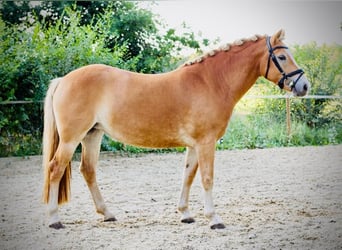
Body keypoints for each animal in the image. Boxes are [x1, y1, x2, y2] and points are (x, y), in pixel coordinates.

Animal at [42, 28, 310, 229]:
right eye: (282, 57)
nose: (304, 86)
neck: (211, 82)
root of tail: (63, 80)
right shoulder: (206, 143)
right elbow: (207, 178)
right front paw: (214, 219)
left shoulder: (194, 145)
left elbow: (188, 175)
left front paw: (185, 214)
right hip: (71, 139)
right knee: (55, 169)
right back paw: (54, 219)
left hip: (92, 135)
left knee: (88, 170)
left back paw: (107, 213)